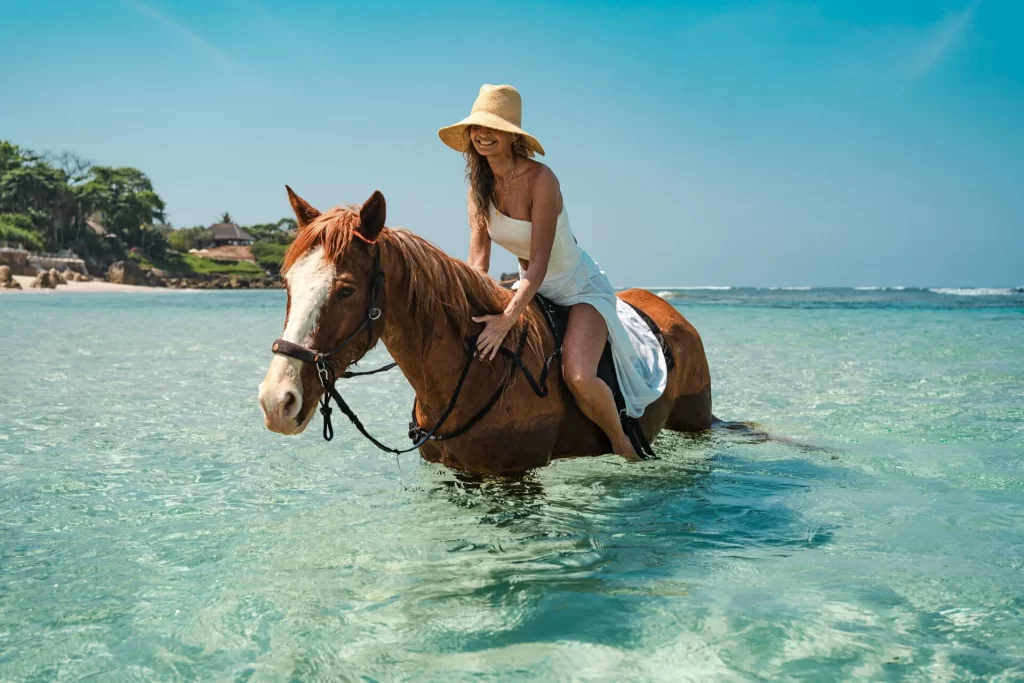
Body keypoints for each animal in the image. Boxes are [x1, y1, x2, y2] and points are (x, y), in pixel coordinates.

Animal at [258, 188, 712, 475]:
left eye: (346, 289)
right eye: (286, 283)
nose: (276, 402)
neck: (476, 371)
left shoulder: (513, 477)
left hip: (696, 423)